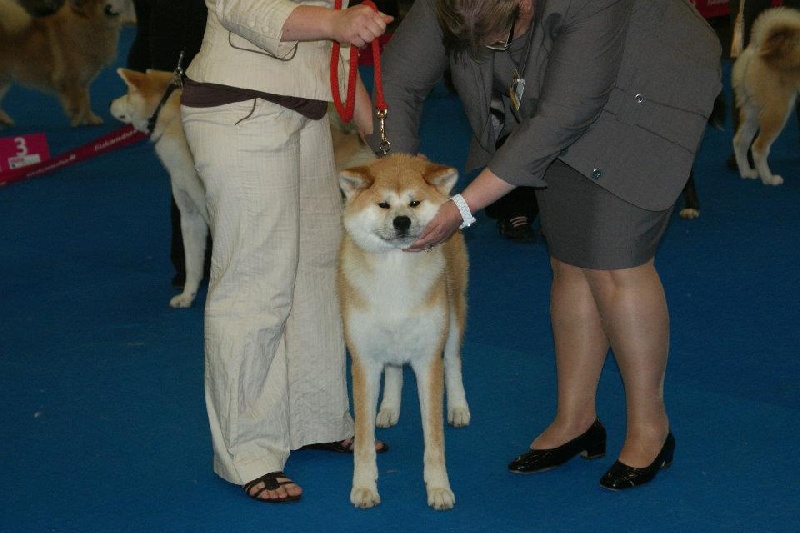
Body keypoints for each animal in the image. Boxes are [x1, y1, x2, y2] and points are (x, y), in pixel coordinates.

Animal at [336, 154, 468, 512]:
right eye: (383, 204)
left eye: (414, 202)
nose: (402, 221)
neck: (395, 273)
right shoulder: (364, 362)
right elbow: (363, 441)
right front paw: (363, 486)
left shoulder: (427, 360)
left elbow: (434, 440)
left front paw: (438, 488)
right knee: (394, 369)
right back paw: (388, 408)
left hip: (453, 314)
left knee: (453, 360)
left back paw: (458, 407)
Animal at [736, 5, 800, 185]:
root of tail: (757, 49)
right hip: (777, 111)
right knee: (758, 148)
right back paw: (769, 179)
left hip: (752, 111)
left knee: (740, 142)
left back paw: (747, 173)